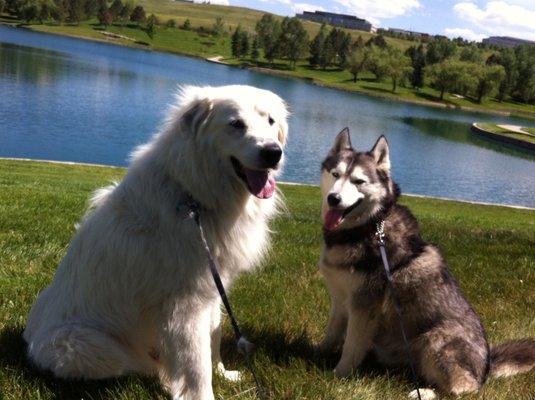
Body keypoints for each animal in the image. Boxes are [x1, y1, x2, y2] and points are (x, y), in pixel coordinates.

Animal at [22, 85, 288, 400]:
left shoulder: (211, 288)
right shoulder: (185, 305)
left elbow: (214, 335)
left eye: (270, 121)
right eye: (236, 124)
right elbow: (197, 365)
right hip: (81, 345)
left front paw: (224, 373)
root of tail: (30, 339)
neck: (193, 196)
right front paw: (202, 391)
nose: (273, 152)